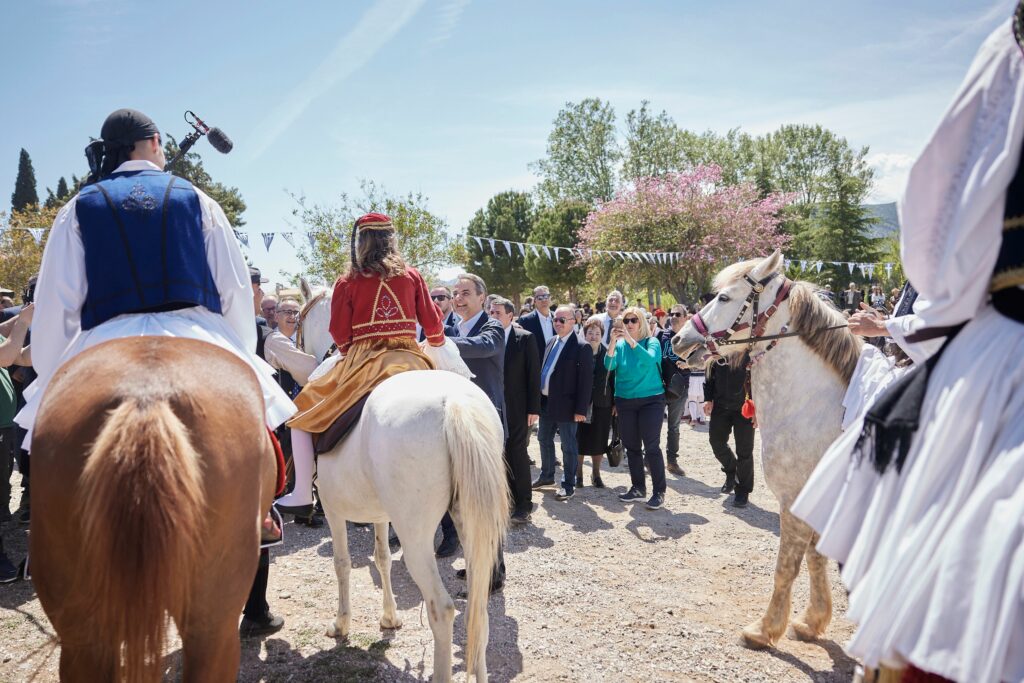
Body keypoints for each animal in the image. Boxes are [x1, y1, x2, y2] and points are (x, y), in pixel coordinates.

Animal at [296, 278, 507, 683]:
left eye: (296, 319)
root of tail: (454, 402)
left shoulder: (332, 507)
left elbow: (342, 563)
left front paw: (341, 624)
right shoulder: (381, 515)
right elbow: (381, 558)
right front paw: (390, 618)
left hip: (416, 535)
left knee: (442, 608)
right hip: (471, 525)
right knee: (479, 607)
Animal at [675, 252, 860, 651]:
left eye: (724, 298)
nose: (679, 339)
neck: (817, 406)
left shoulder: (793, 499)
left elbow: (786, 566)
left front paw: (765, 628)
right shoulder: (813, 503)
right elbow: (815, 558)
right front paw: (812, 621)